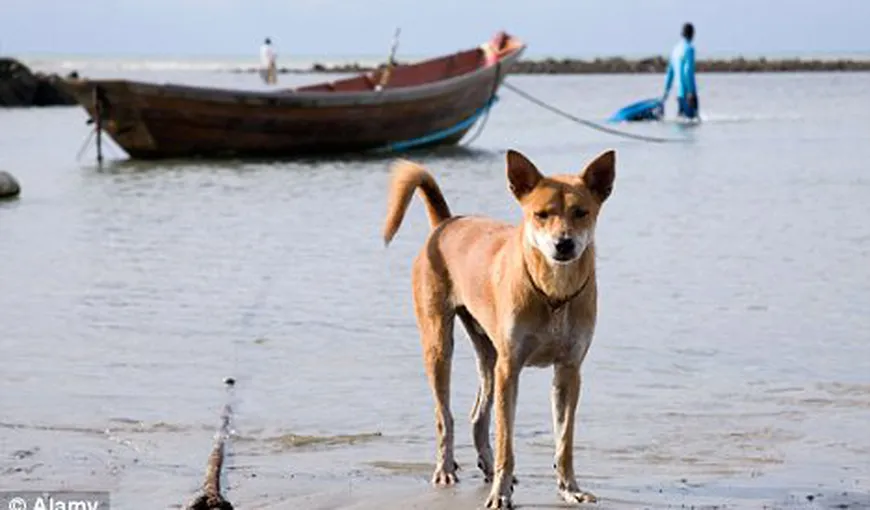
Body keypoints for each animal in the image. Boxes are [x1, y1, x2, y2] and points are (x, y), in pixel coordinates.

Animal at [384, 149, 616, 508]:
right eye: (541, 215)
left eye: (581, 213)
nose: (563, 244)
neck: (553, 293)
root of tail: (446, 223)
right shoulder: (511, 369)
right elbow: (506, 437)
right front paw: (500, 493)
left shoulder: (568, 371)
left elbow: (564, 440)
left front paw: (570, 488)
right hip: (439, 344)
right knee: (444, 416)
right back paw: (446, 468)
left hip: (488, 352)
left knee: (478, 416)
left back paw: (488, 466)